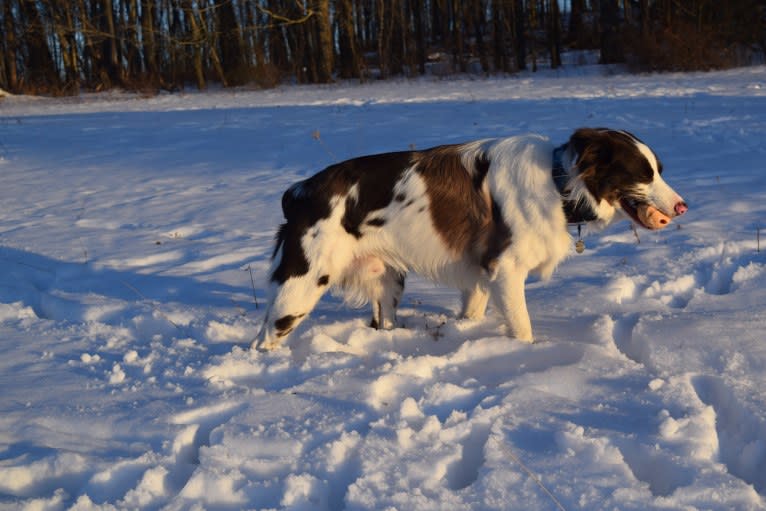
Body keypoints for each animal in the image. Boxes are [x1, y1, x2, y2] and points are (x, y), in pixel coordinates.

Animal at [256, 128, 688, 352]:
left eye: (659, 170)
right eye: (644, 174)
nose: (682, 206)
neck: (559, 182)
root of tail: (298, 191)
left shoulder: (479, 273)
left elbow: (472, 313)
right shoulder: (506, 271)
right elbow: (523, 328)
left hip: (388, 284)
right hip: (300, 289)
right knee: (264, 339)